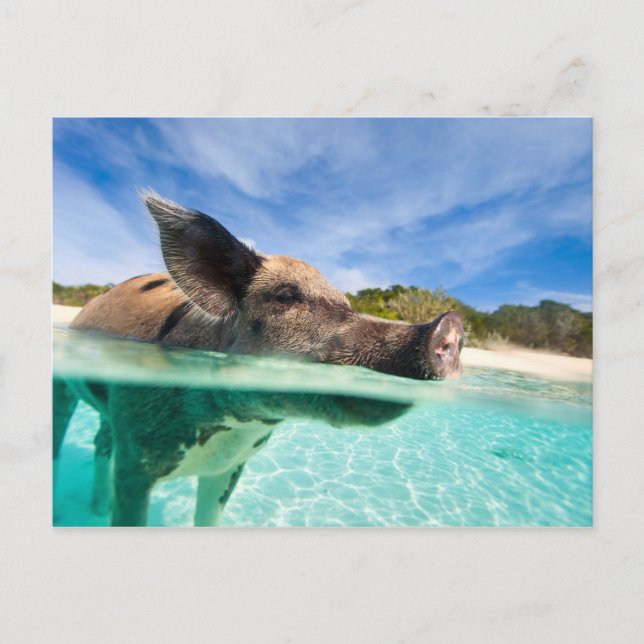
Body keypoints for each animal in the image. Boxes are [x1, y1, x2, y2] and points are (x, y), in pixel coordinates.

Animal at [53, 193, 464, 526]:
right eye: (286, 296)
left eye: (347, 305)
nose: (448, 325)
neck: (233, 427)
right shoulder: (135, 459)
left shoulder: (230, 466)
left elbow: (207, 519)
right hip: (63, 390)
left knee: (100, 439)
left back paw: (95, 511)